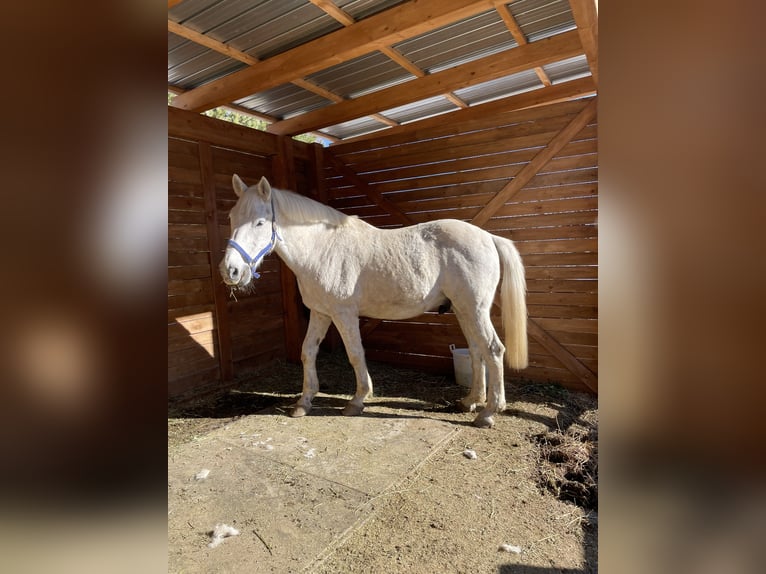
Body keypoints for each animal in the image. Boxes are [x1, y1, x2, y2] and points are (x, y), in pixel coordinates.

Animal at [219, 174, 524, 428]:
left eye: (260, 222)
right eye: (232, 217)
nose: (230, 271)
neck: (322, 249)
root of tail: (488, 237)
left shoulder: (343, 314)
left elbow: (355, 354)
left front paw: (357, 401)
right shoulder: (320, 313)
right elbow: (308, 352)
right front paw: (304, 402)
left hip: (474, 309)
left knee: (493, 349)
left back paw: (488, 413)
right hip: (463, 310)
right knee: (476, 350)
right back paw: (471, 401)